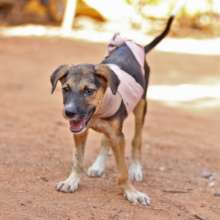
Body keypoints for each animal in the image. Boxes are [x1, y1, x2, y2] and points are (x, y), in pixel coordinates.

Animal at [49, 14, 175, 205]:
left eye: (89, 91)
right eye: (65, 89)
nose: (69, 113)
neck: (98, 113)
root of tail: (135, 47)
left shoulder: (118, 136)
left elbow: (122, 171)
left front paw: (132, 192)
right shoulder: (81, 131)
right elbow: (78, 160)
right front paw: (71, 181)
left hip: (141, 106)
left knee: (137, 140)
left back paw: (136, 168)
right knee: (104, 140)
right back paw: (98, 165)